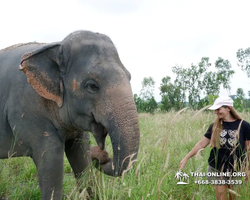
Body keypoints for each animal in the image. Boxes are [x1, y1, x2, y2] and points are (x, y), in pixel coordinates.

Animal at [0, 30, 141, 199]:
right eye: (92, 86)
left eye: (129, 76)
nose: (101, 154)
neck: (55, 46)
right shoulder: (27, 108)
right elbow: (51, 159)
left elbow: (81, 155)